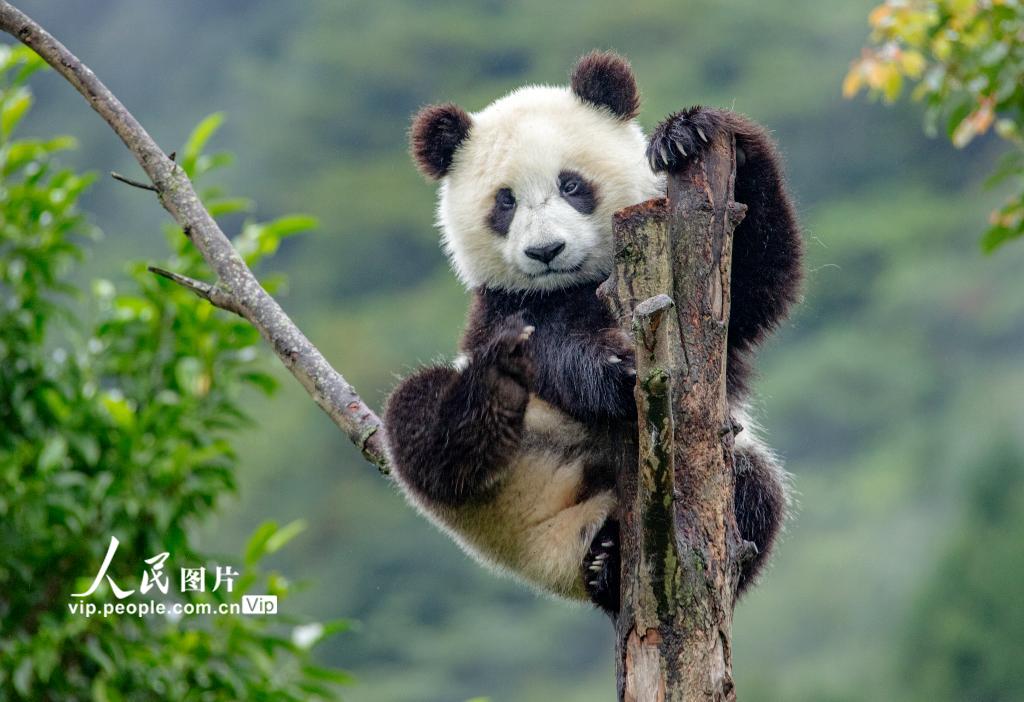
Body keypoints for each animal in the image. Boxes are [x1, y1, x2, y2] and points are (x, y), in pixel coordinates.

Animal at [385, 52, 798, 613]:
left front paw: (688, 133)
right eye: (505, 202)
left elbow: (760, 281)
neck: (576, 283)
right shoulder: (504, 308)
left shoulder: (708, 301)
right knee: (424, 428)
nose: (546, 251)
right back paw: (496, 386)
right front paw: (616, 373)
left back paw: (613, 562)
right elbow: (553, 349)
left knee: (756, 493)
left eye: (571, 184)